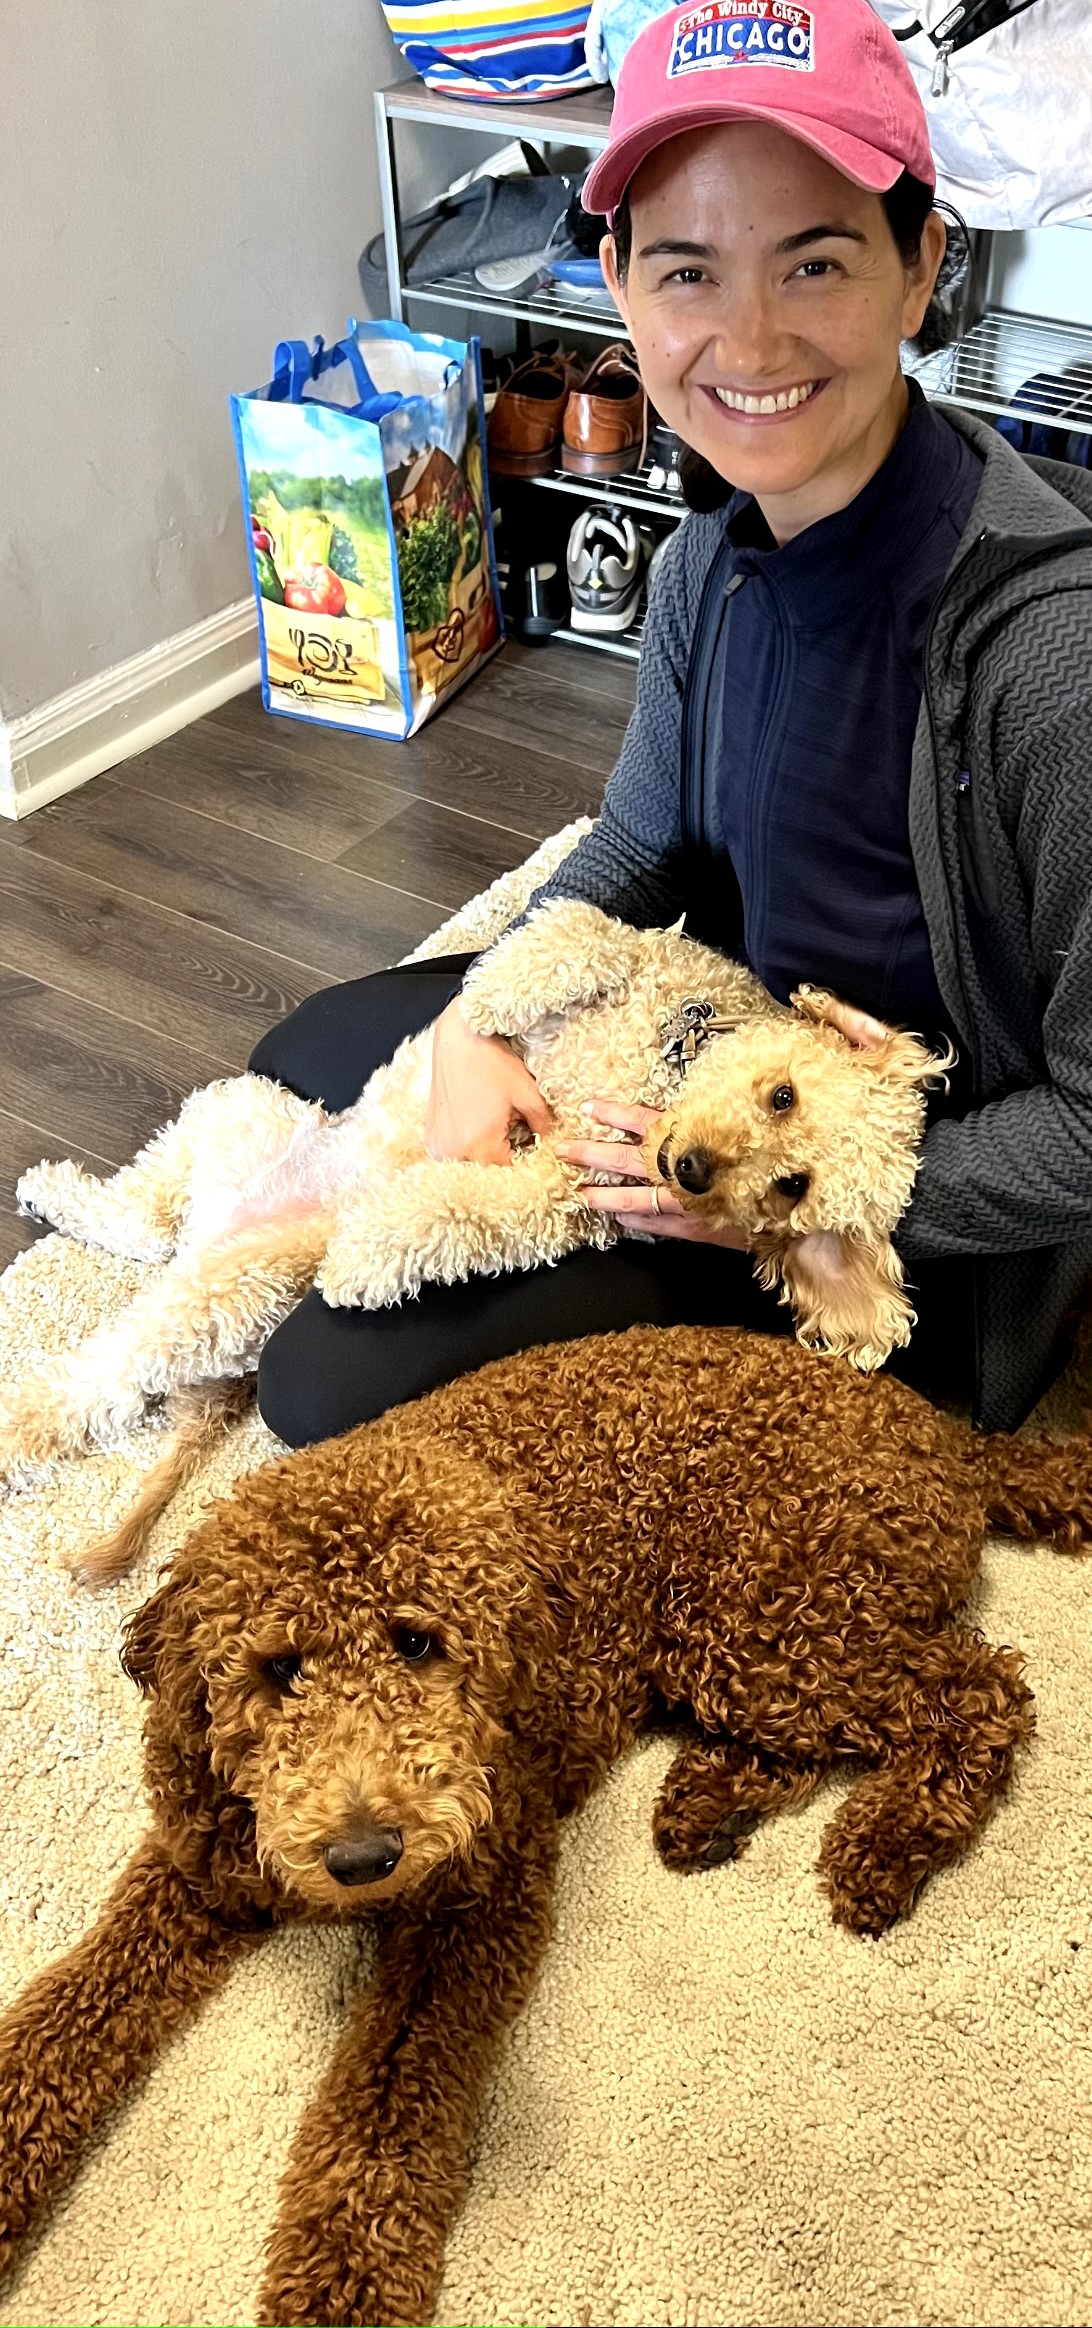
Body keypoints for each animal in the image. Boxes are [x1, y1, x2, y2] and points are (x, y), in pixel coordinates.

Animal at [0, 898, 940, 1573]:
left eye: (793, 1187)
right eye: (783, 1096)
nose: (693, 1170)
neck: (656, 1066)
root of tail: (224, 1225)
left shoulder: (554, 1195)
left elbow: (452, 1212)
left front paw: (365, 1255)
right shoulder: (634, 956)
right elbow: (580, 932)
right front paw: (488, 996)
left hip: (231, 1289)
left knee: (97, 1380)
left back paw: (16, 1430)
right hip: (238, 1114)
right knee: (143, 1218)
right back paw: (55, 1194)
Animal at [0, 1331, 1080, 2328]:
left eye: (418, 1642)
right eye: (278, 1669)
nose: (363, 1858)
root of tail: (943, 1430)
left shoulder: (476, 1907)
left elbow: (386, 2116)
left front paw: (343, 2290)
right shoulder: (195, 1869)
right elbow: (65, 2020)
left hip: (773, 1623)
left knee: (980, 1695)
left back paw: (883, 1844)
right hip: (754, 1649)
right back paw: (710, 1804)